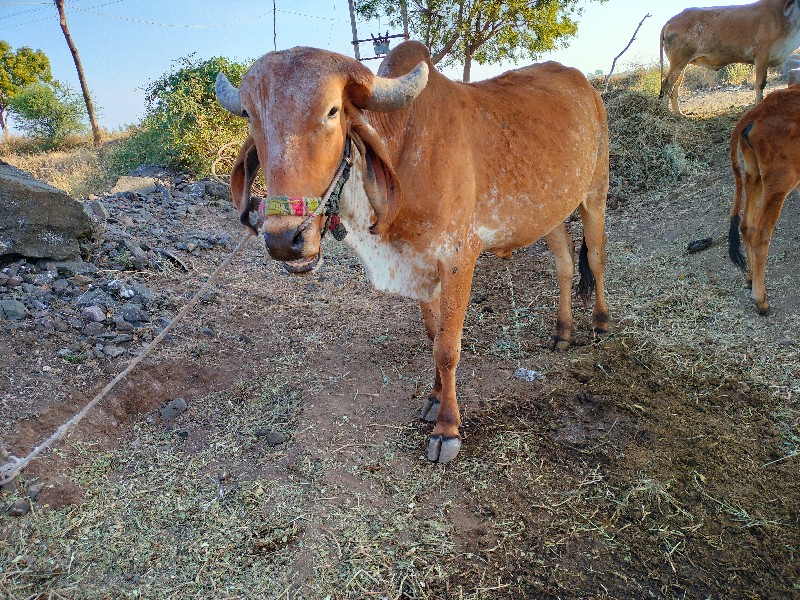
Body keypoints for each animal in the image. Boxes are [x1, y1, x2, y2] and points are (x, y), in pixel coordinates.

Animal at [216, 42, 608, 464]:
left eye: (332, 111)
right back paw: (562, 332)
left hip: (595, 193)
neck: (404, 149)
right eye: (251, 118)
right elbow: (433, 335)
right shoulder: (419, 266)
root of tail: (586, 85)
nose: (284, 239)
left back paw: (601, 323)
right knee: (565, 263)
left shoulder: (458, 259)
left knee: (596, 259)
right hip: (551, 211)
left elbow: (447, 348)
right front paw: (435, 399)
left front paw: (447, 428)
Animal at [660, 0, 800, 114]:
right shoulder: (761, 55)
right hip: (678, 62)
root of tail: (670, 21)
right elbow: (760, 84)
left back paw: (678, 114)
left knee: (674, 89)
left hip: (682, 65)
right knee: (666, 84)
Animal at [728, 84, 796, 314]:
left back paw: (750, 278)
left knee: (746, 225)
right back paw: (761, 300)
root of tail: (756, 112)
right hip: (779, 183)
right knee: (760, 234)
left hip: (753, 175)